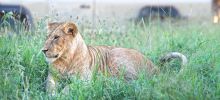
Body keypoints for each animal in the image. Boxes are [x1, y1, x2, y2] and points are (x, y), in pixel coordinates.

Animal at [41, 21, 187, 95]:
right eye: (47, 37)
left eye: (56, 37)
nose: (43, 50)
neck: (65, 60)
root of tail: (155, 67)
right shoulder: (52, 77)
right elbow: (50, 87)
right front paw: (52, 95)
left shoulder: (85, 81)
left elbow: (68, 87)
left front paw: (61, 95)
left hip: (116, 56)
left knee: (133, 82)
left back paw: (107, 82)